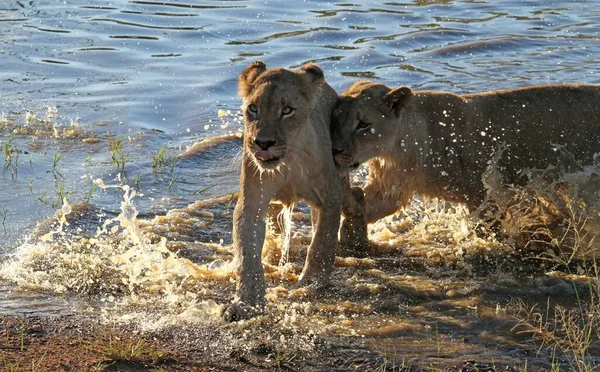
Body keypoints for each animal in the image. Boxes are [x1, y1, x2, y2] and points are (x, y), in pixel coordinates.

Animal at [220, 61, 344, 322]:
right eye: (253, 109)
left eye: (287, 110)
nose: (263, 143)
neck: (288, 162)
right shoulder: (251, 202)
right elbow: (247, 256)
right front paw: (246, 303)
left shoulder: (330, 197)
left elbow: (322, 241)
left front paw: (312, 282)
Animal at [330, 81, 600, 227]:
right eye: (336, 120)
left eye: (363, 125)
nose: (334, 150)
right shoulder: (390, 189)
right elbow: (362, 207)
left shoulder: (484, 194)